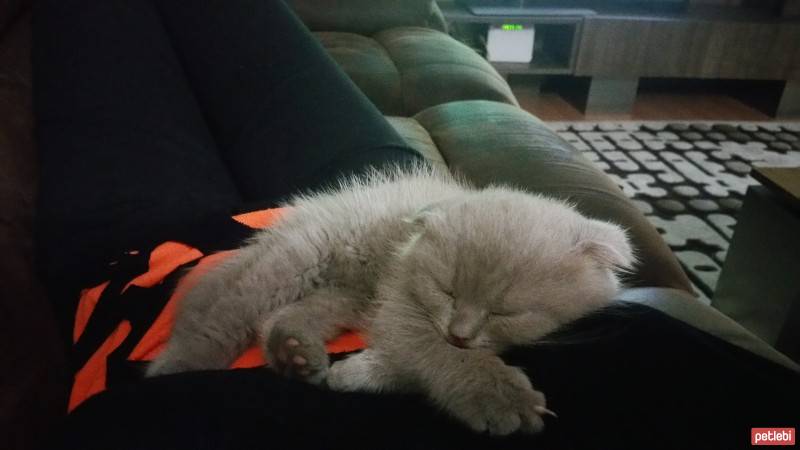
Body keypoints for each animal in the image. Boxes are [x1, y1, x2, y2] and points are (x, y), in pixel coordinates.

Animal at [147, 165, 636, 436]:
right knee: (223, 316)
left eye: (507, 312)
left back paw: (295, 353)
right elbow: (431, 351)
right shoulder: (400, 306)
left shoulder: (387, 305)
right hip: (295, 261)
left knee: (279, 318)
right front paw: (496, 394)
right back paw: (175, 367)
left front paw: (355, 374)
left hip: (348, 294)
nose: (460, 333)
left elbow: (403, 363)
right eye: (447, 290)